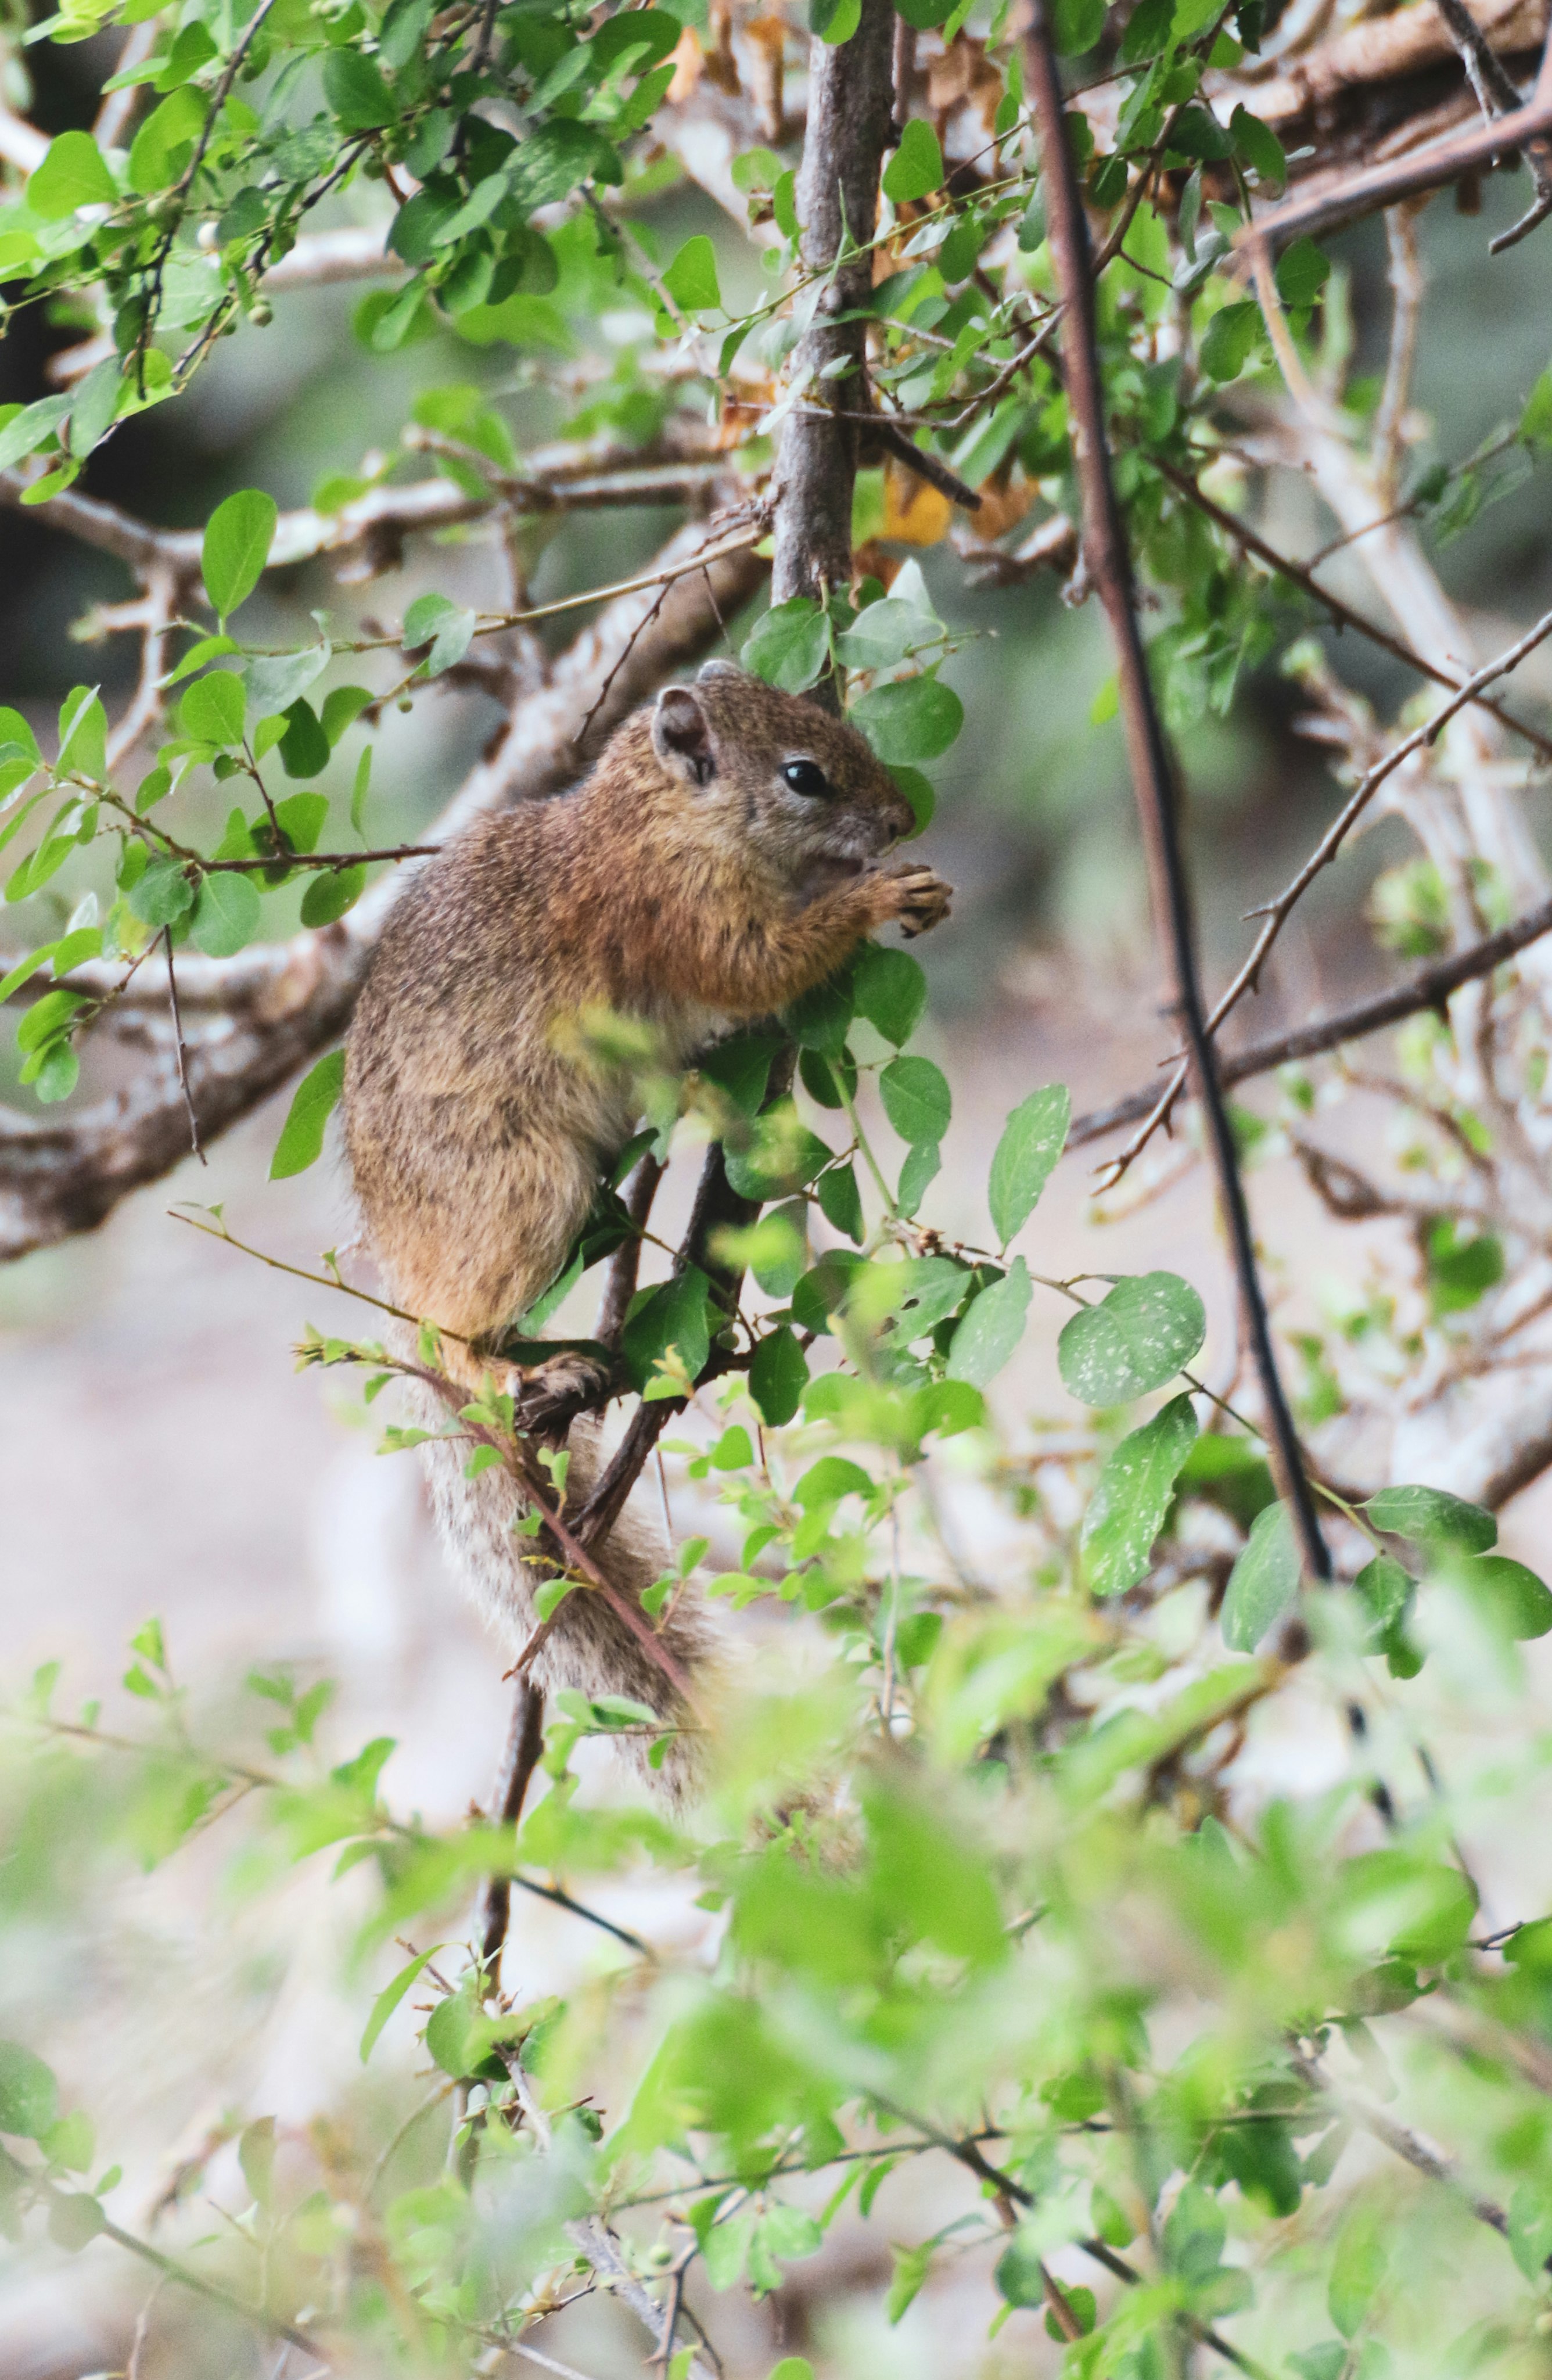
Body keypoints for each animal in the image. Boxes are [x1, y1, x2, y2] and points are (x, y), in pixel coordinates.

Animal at [345, 661, 952, 1780]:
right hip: (524, 1191)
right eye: (803, 776)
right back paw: (513, 1369)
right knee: (456, 1343)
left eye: (837, 726)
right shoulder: (678, 912)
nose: (899, 819)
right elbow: (759, 966)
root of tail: (405, 1269)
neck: (657, 818)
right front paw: (878, 896)